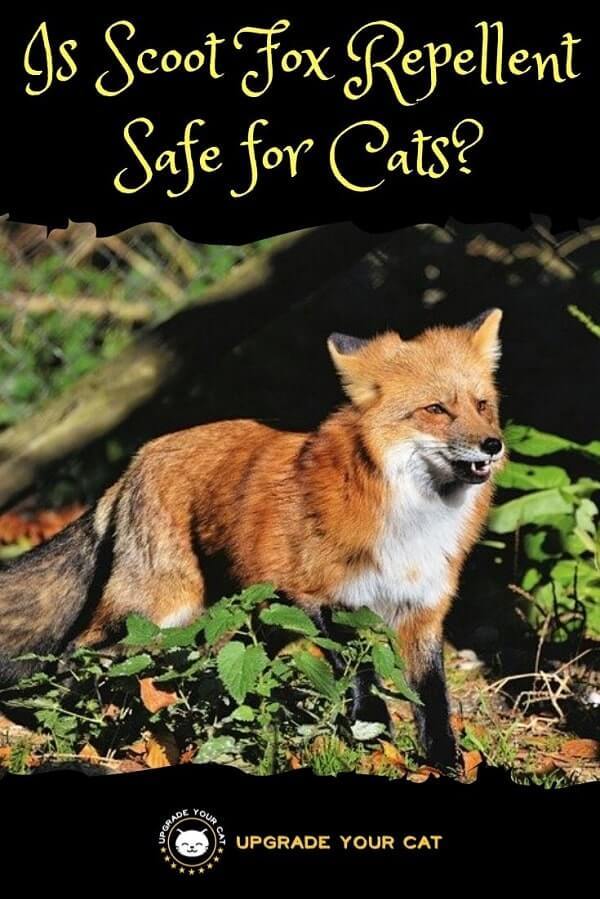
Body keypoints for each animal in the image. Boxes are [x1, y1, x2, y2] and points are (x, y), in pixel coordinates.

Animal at [0, 308, 505, 769]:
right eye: (435, 409)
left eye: (482, 405)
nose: (493, 445)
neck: (412, 520)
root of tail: (139, 456)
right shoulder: (325, 600)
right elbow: (361, 679)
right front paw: (372, 742)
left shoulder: (422, 611)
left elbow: (433, 701)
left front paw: (444, 762)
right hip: (158, 608)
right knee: (76, 653)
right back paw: (80, 725)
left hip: (249, 619)